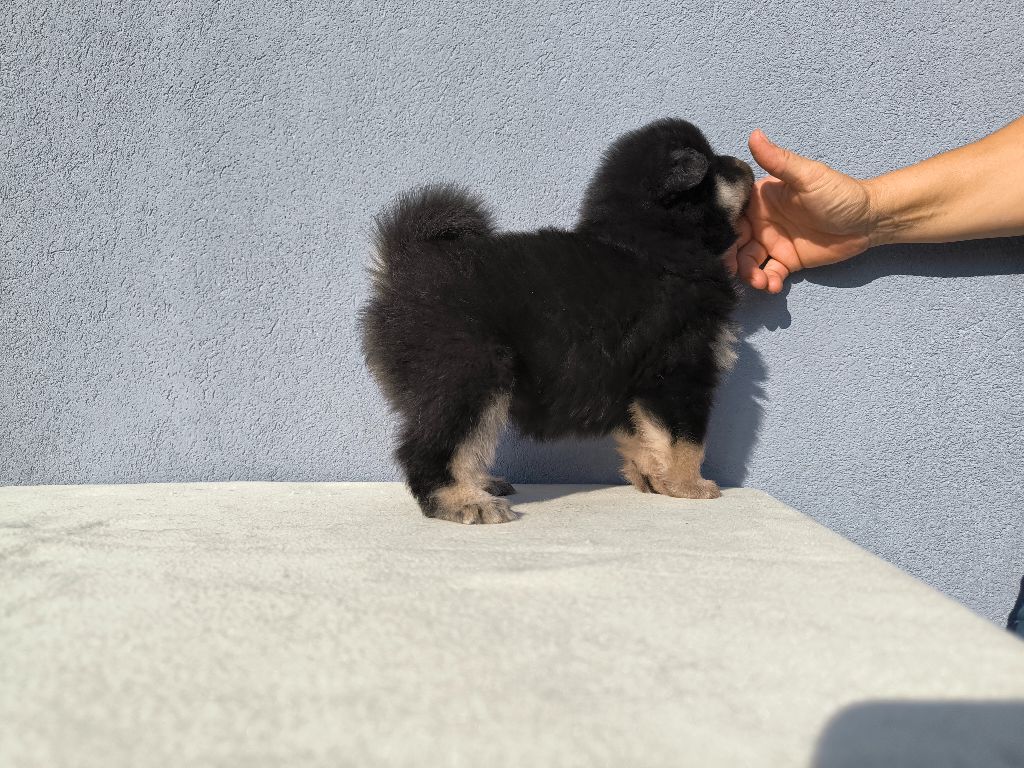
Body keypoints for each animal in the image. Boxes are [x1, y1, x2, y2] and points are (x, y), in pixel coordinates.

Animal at [360, 118, 754, 523]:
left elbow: (644, 435)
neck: (654, 240)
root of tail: (401, 269)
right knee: (430, 447)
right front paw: (691, 486)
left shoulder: (639, 379)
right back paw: (464, 500)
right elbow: (687, 439)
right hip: (467, 371)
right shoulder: (682, 368)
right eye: (713, 163)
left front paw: (653, 479)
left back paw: (481, 485)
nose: (744, 165)